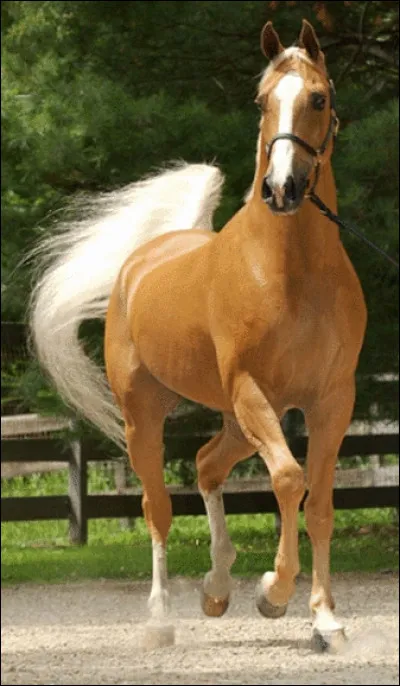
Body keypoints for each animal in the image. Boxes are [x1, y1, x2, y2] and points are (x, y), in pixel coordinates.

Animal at [30, 19, 367, 652]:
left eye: (318, 98)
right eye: (261, 101)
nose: (281, 189)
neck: (291, 272)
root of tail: (143, 262)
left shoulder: (331, 401)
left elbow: (319, 503)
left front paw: (326, 619)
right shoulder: (252, 391)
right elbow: (289, 479)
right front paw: (273, 593)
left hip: (236, 422)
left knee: (209, 465)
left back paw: (216, 587)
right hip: (147, 416)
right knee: (157, 506)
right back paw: (162, 618)